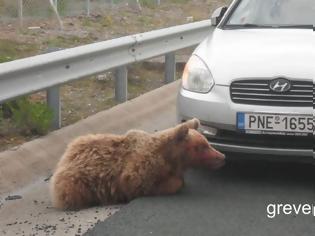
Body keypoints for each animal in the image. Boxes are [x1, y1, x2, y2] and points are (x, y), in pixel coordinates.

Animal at [50, 118, 225, 210]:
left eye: (206, 143)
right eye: (202, 146)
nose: (221, 157)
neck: (172, 158)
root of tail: (66, 154)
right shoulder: (141, 168)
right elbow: (139, 183)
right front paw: (174, 184)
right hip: (77, 182)